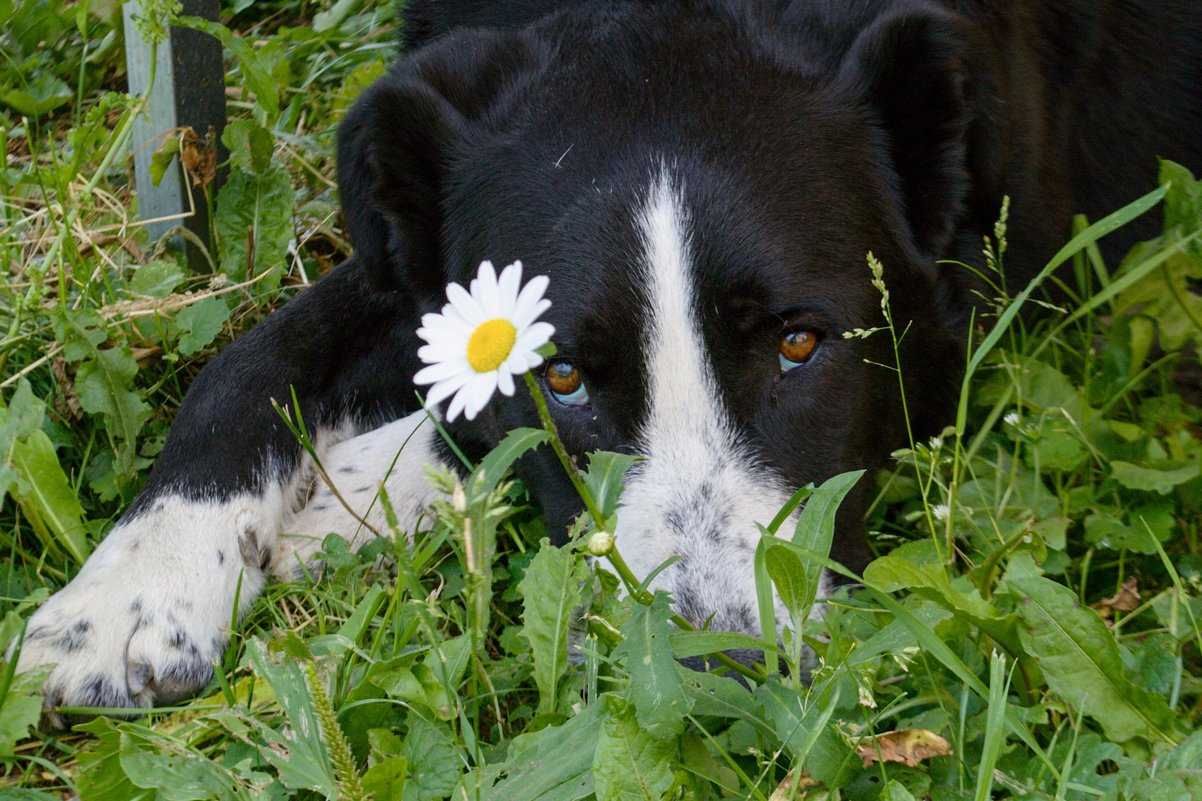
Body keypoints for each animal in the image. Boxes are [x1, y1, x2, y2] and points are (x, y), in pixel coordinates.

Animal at [18, 0, 1202, 716]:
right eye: (563, 377)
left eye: (799, 343)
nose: (712, 670)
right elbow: (250, 357)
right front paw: (127, 596)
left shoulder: (1004, 276)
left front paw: (356, 489)